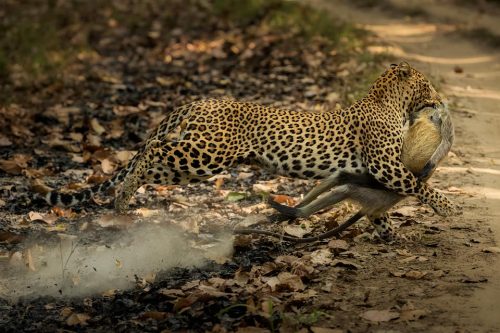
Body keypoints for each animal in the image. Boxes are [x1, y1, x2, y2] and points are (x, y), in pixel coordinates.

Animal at [42, 60, 460, 236]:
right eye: (426, 83)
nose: (439, 96)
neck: (390, 103)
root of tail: (198, 102)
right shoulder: (387, 166)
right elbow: (421, 185)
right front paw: (448, 207)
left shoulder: (377, 171)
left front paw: (387, 230)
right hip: (206, 154)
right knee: (154, 149)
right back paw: (123, 198)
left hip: (195, 159)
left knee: (151, 156)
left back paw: (121, 200)